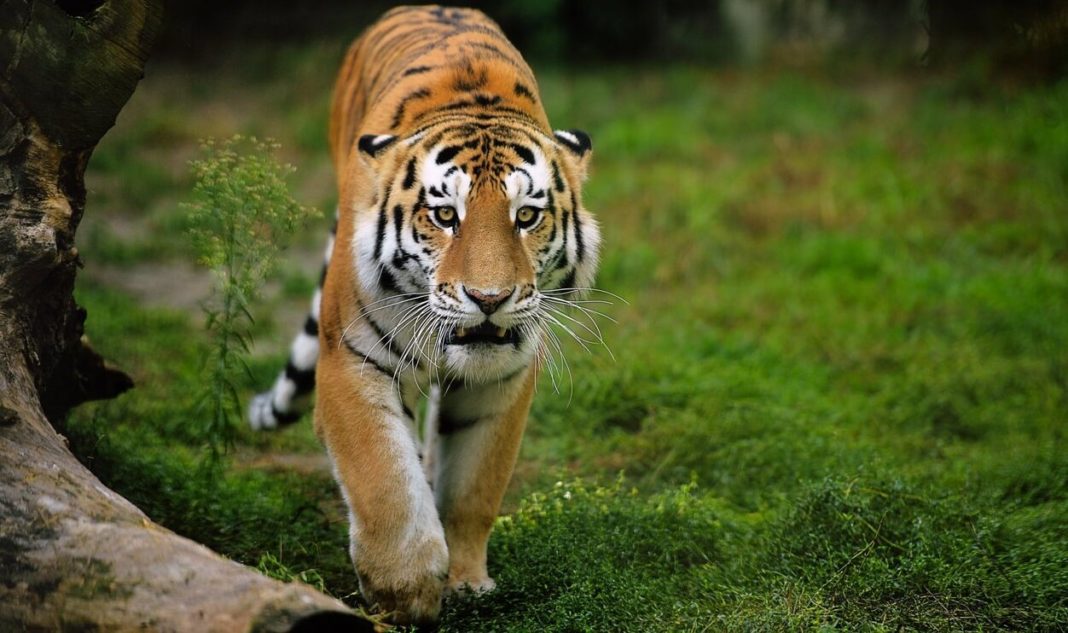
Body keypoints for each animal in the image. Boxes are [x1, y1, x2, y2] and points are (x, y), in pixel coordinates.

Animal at [247, 5, 600, 624]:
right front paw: (404, 592)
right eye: (445, 215)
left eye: (526, 217)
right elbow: (385, 482)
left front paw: (466, 582)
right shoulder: (352, 363)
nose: (489, 298)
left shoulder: (502, 382)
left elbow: (473, 487)